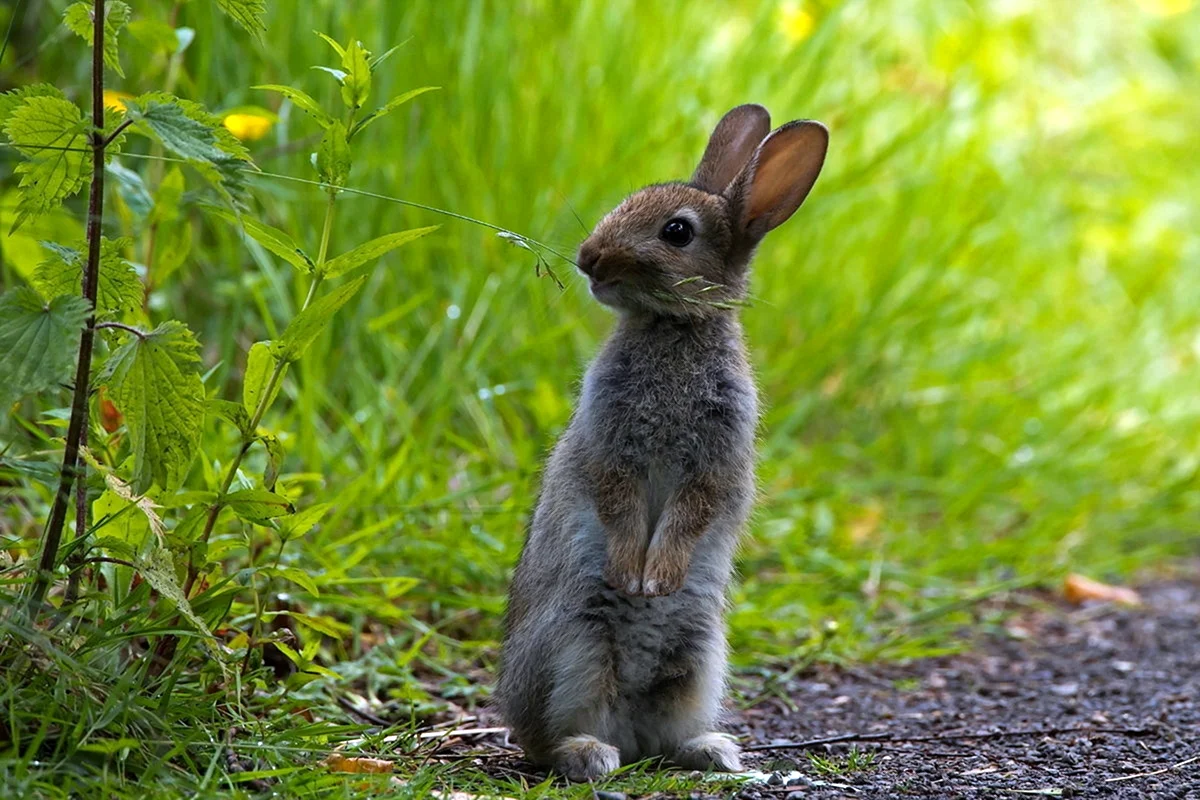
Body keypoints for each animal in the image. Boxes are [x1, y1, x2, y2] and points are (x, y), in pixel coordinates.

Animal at [496, 104, 828, 782]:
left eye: (677, 232)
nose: (589, 259)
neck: (673, 326)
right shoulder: (611, 446)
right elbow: (619, 501)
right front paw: (634, 577)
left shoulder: (715, 462)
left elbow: (691, 512)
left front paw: (658, 582)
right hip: (575, 644)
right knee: (546, 740)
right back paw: (590, 754)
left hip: (699, 657)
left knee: (660, 734)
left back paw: (710, 750)